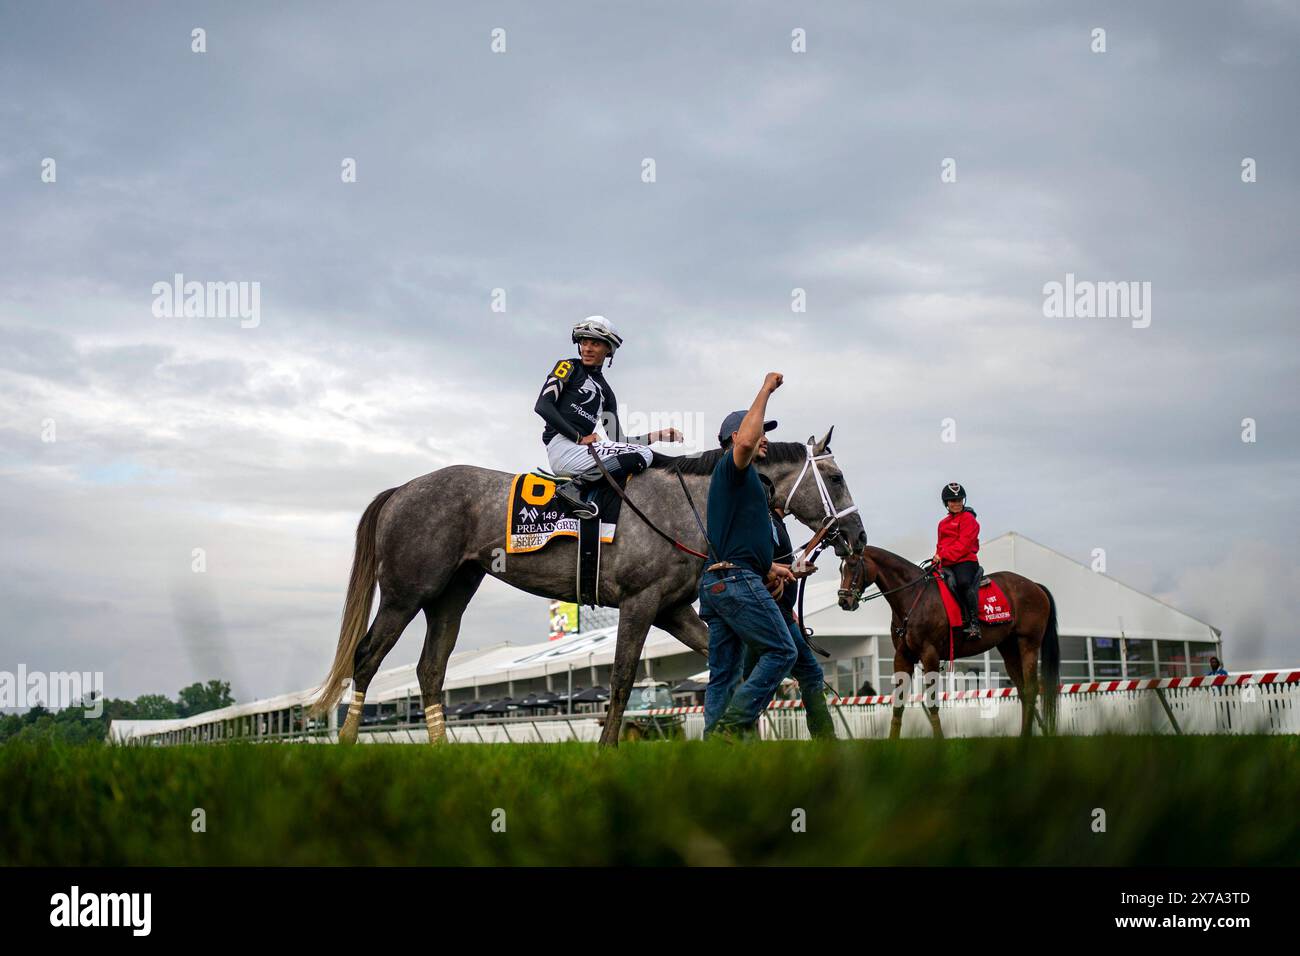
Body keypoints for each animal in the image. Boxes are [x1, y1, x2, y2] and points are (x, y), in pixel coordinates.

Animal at [309, 429, 868, 749]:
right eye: (838, 477)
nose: (858, 536)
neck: (693, 502)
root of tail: (402, 490)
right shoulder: (640, 603)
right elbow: (621, 678)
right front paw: (608, 749)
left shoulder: (672, 610)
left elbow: (723, 668)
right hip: (407, 594)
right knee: (367, 657)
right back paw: (348, 743)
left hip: (451, 594)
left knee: (430, 669)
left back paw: (440, 750)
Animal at [837, 546, 1060, 738]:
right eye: (841, 568)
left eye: (854, 566)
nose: (844, 601)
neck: (913, 596)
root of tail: (1035, 586)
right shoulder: (903, 656)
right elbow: (898, 703)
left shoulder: (930, 655)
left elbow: (933, 702)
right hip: (1009, 648)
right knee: (1023, 692)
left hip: (1028, 645)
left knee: (1031, 689)